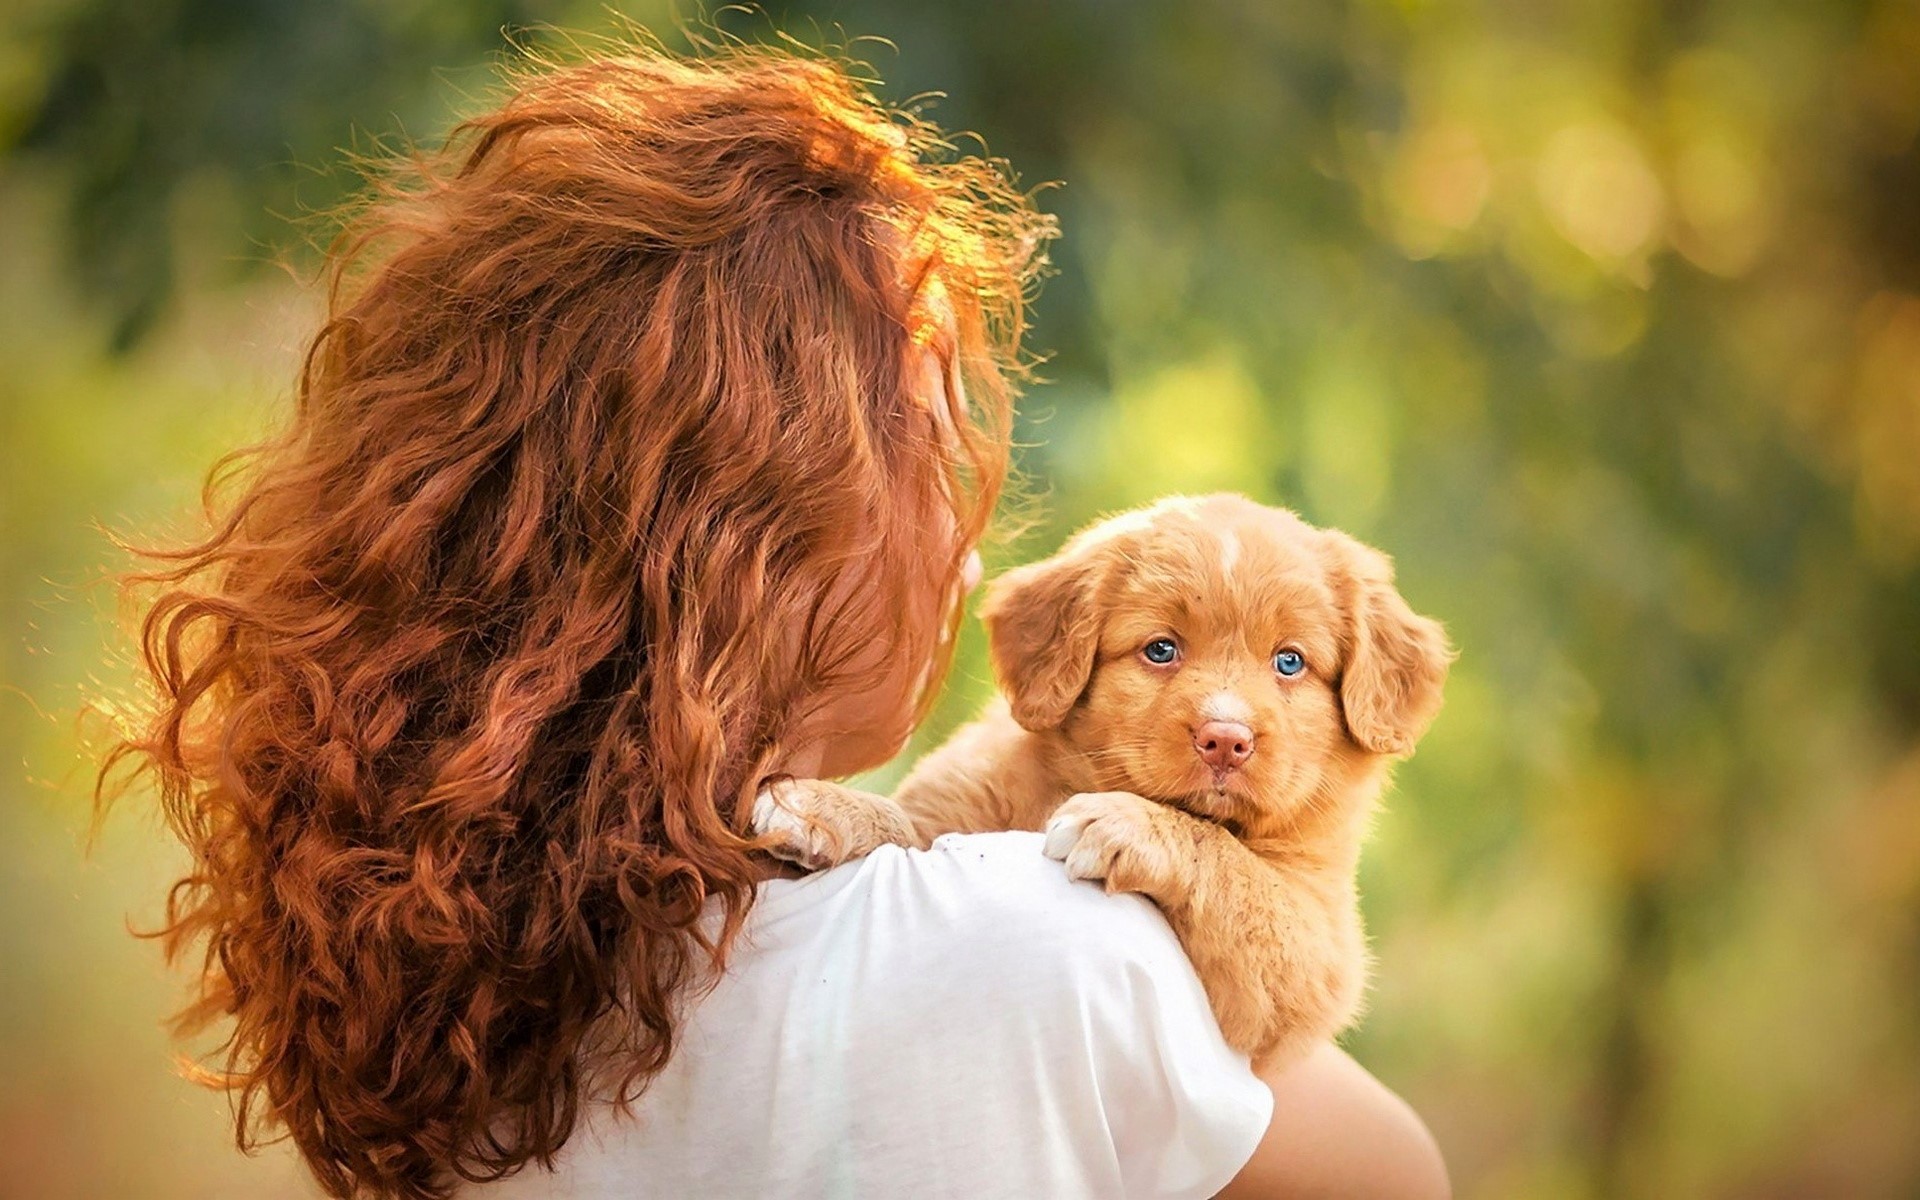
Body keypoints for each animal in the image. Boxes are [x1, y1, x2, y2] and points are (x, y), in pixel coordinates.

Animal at [756, 491, 1443, 1059]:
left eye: (1290, 662)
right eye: (1161, 649)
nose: (1226, 740)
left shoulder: (1314, 951)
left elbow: (1235, 871)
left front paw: (1126, 824)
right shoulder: (960, 801)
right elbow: (910, 821)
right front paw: (824, 805)